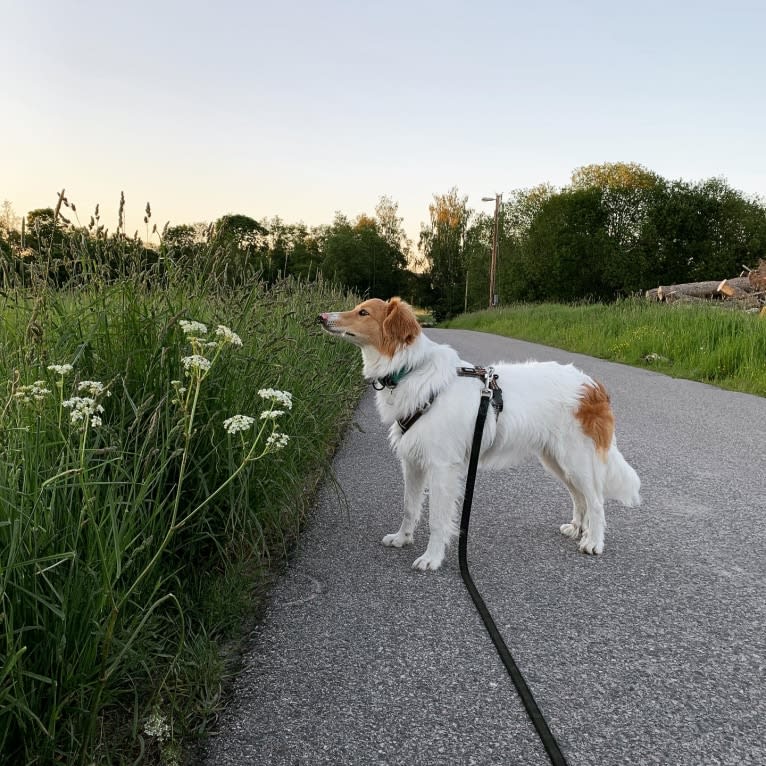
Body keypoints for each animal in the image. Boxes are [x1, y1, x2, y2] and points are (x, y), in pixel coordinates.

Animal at [318, 296, 640, 572]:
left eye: (363, 312)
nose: (320, 317)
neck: (410, 370)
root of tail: (593, 385)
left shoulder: (441, 467)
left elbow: (437, 519)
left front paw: (432, 558)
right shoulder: (412, 462)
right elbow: (410, 507)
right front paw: (402, 538)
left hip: (576, 459)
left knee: (596, 501)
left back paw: (593, 541)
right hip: (557, 461)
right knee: (579, 497)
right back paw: (577, 529)